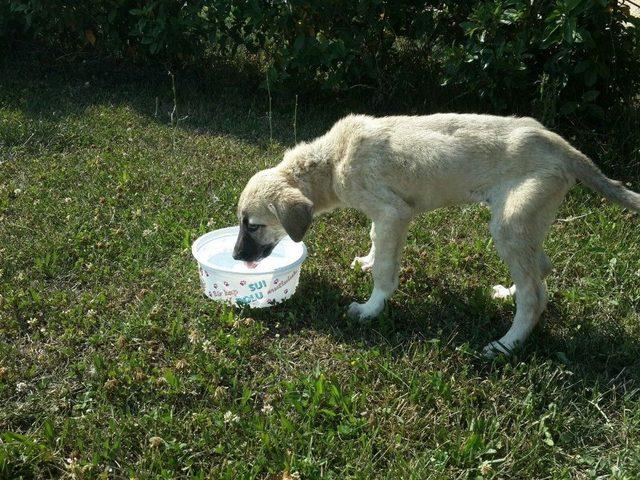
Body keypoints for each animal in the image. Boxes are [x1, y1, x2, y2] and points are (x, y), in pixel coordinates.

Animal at [232, 113, 636, 356]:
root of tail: (564, 148)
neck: (332, 160)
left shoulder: (394, 213)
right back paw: (508, 293)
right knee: (541, 271)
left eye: (252, 225)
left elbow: (386, 273)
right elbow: (376, 242)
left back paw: (506, 345)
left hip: (509, 224)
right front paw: (367, 261)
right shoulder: (383, 217)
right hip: (526, 223)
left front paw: (371, 309)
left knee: (535, 295)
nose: (236, 257)